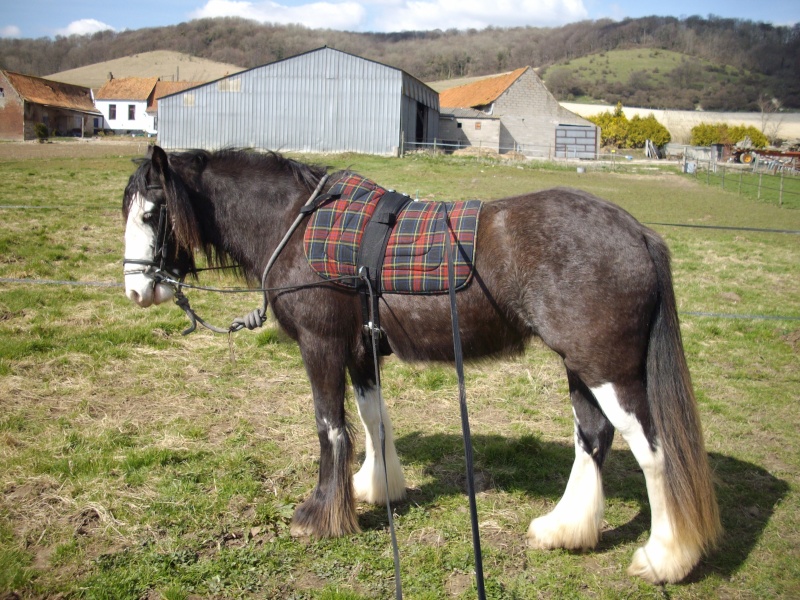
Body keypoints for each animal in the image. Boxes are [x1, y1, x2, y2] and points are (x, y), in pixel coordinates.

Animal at [122, 145, 720, 580]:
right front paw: (376, 487)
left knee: (653, 452)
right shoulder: (360, 351)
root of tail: (636, 231)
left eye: (151, 213)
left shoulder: (321, 345)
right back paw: (563, 529)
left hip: (609, 372)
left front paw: (321, 516)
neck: (295, 225)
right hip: (581, 368)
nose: (136, 291)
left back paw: (663, 558)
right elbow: (373, 421)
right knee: (593, 438)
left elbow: (330, 427)